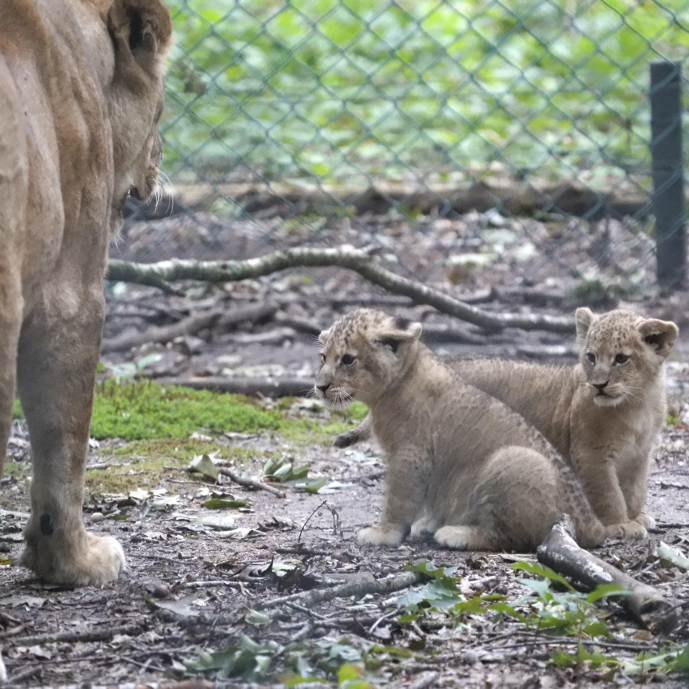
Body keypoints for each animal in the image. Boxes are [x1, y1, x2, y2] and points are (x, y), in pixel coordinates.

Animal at [335, 309, 678, 540]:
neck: (637, 404)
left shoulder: (639, 455)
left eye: (621, 359)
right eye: (591, 357)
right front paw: (620, 524)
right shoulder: (591, 455)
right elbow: (608, 493)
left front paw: (637, 517)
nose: (599, 385)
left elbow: (634, 490)